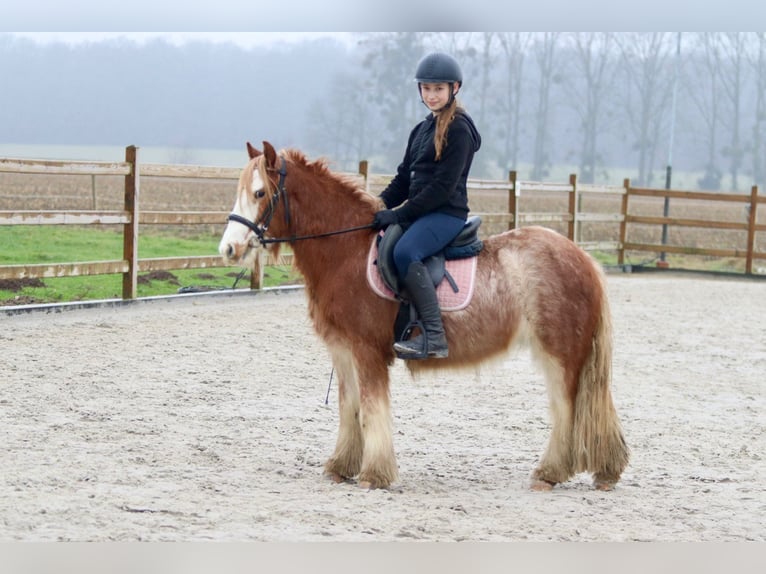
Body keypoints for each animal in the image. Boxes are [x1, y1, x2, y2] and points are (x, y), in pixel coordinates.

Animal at [220, 142, 632, 492]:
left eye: (260, 193)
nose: (228, 249)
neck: (347, 251)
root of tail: (583, 259)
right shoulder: (344, 351)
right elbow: (349, 409)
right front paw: (341, 466)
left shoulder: (367, 352)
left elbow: (372, 411)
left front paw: (374, 474)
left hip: (560, 353)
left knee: (566, 409)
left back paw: (550, 473)